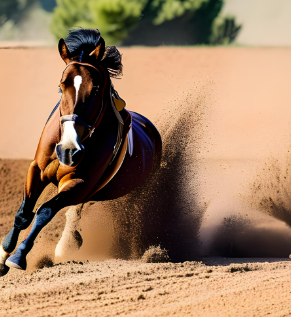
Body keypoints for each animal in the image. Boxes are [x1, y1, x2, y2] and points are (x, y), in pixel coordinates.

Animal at [0, 28, 162, 276]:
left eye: (95, 89)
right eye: (60, 86)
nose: (68, 150)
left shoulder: (80, 184)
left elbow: (45, 211)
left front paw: (18, 256)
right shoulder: (37, 169)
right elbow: (24, 214)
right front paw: (4, 253)